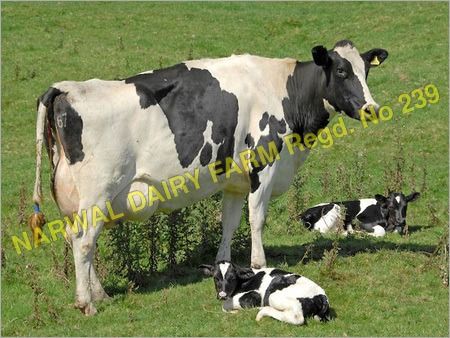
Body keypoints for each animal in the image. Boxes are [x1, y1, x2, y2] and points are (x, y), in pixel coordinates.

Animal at [31, 39, 388, 314]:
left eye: (366, 70)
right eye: (341, 71)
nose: (371, 108)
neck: (284, 90)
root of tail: (67, 89)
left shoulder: (234, 180)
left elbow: (229, 223)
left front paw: (223, 265)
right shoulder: (264, 166)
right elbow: (257, 219)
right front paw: (259, 264)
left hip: (73, 201)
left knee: (77, 238)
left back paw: (100, 294)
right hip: (98, 194)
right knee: (84, 242)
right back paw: (86, 303)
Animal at [200, 262, 330, 324]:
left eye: (232, 278)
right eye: (216, 278)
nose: (222, 295)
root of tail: (322, 295)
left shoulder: (255, 295)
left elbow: (225, 305)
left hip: (274, 296)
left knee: (297, 318)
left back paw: (262, 311)